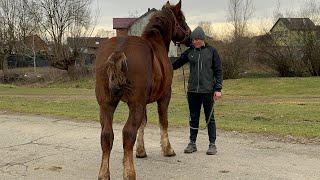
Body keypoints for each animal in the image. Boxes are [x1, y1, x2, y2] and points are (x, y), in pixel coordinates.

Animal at [95, 0, 190, 179]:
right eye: (181, 18)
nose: (189, 34)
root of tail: (119, 50)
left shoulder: (142, 102)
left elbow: (143, 123)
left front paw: (140, 151)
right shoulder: (164, 96)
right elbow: (163, 121)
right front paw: (168, 149)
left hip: (106, 104)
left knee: (106, 135)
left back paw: (104, 174)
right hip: (135, 104)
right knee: (127, 134)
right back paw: (129, 173)